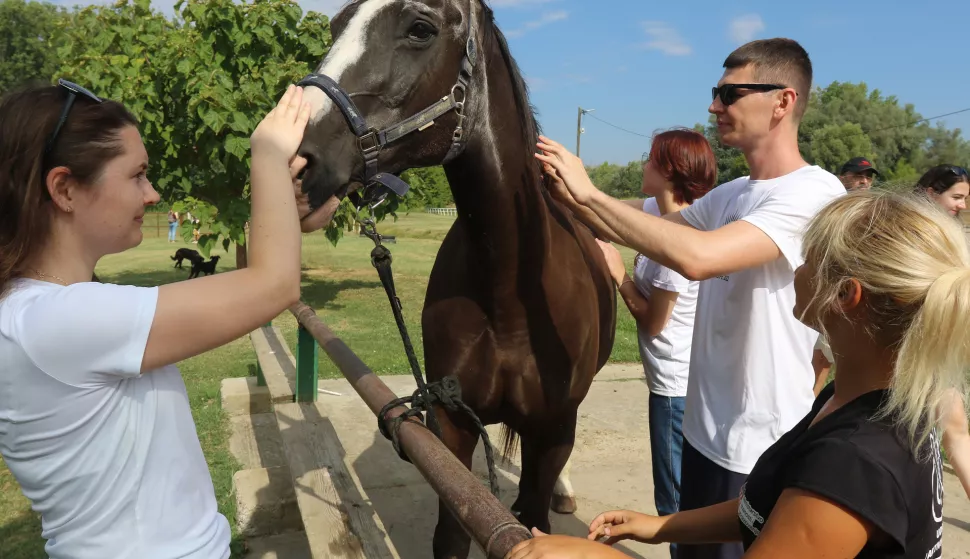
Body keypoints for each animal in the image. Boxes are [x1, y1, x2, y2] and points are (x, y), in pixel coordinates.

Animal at [292, 2, 616, 556]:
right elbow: (451, 533)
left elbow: (533, 515)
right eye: (335, 26)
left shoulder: (551, 431)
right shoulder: (452, 424)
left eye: (420, 28)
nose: (295, 158)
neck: (507, 293)